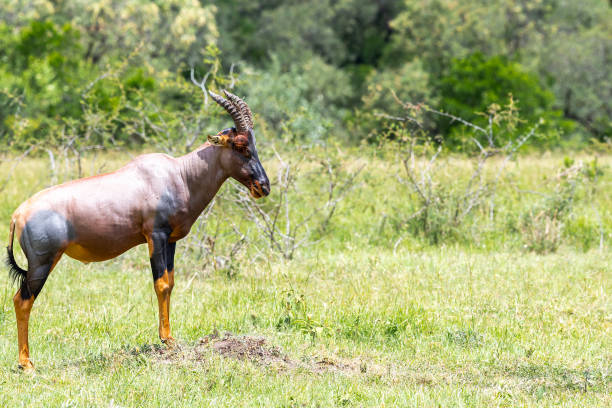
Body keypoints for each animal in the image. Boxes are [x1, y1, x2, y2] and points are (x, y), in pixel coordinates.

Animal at [4, 91, 268, 372]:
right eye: (240, 146)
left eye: (253, 144)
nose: (263, 187)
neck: (179, 174)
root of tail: (18, 214)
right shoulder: (156, 235)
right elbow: (161, 283)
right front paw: (166, 340)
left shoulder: (171, 240)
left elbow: (171, 283)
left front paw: (170, 338)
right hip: (42, 262)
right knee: (22, 300)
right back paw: (26, 364)